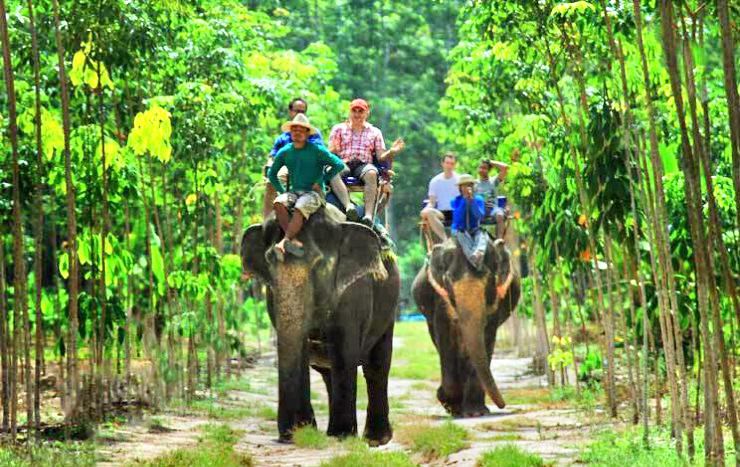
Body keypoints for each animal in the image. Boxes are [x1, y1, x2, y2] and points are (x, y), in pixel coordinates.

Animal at [241, 208, 400, 445]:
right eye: (268, 262)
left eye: (318, 264)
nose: (286, 436)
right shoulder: (272, 296)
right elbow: (301, 351)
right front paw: (304, 430)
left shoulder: (354, 293)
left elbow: (344, 351)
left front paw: (342, 435)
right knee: (328, 373)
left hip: (389, 308)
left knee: (376, 365)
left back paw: (375, 439)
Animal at [412, 236, 520, 417]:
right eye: (448, 280)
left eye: (489, 279)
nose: (503, 405)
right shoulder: (440, 299)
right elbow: (446, 339)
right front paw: (450, 403)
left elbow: (486, 336)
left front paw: (476, 413)